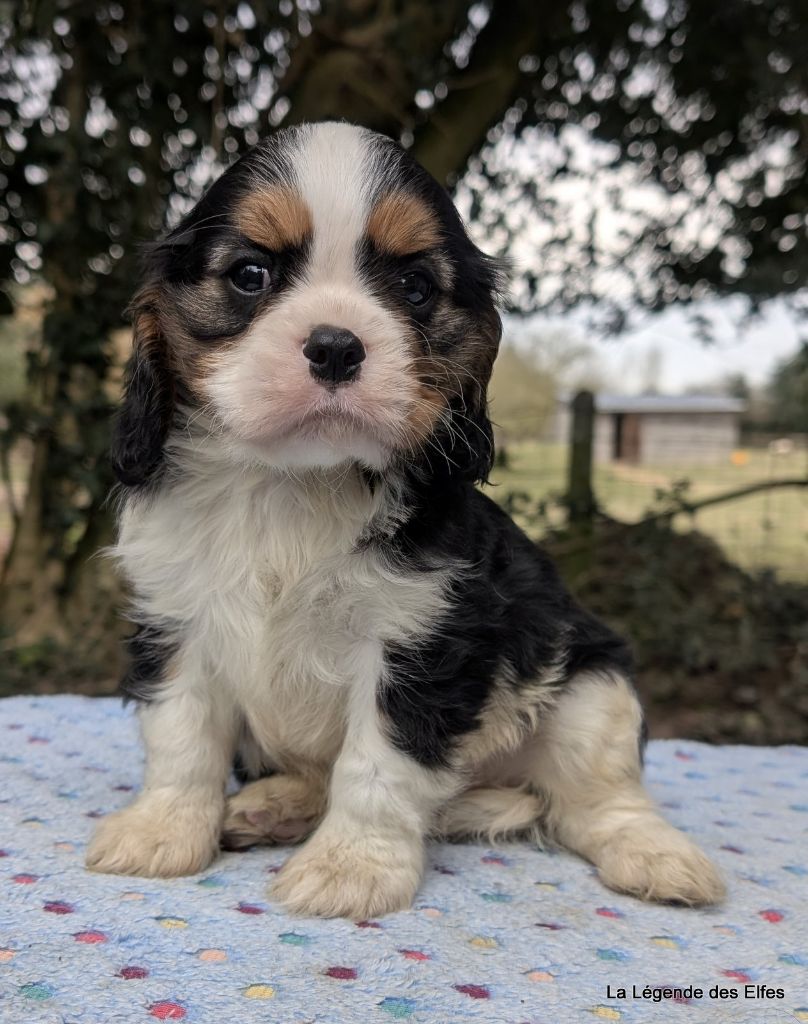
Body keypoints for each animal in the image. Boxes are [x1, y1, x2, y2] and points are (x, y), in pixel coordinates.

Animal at [88, 121, 725, 921]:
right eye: (249, 275)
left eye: (414, 288)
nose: (335, 345)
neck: (292, 483)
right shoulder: (175, 622)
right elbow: (181, 736)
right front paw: (162, 831)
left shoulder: (422, 643)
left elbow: (377, 767)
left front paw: (350, 868)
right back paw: (274, 807)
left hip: (592, 688)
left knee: (594, 801)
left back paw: (658, 856)